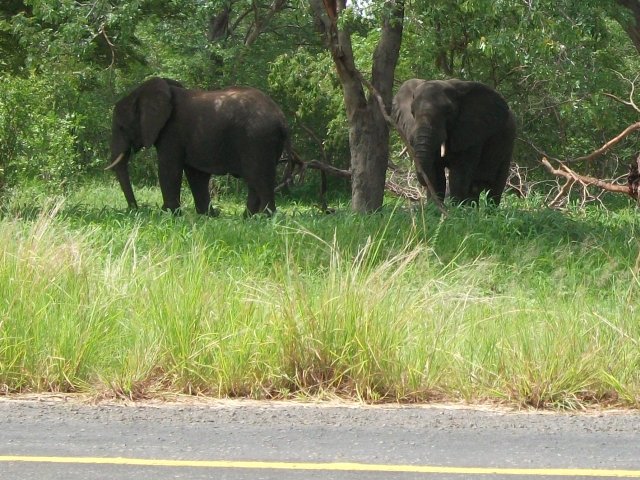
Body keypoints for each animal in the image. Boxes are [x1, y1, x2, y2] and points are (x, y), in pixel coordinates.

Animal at [106, 76, 286, 215]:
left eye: (121, 127)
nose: (135, 209)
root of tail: (280, 116)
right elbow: (195, 174)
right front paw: (207, 216)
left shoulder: (172, 131)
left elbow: (169, 169)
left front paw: (167, 215)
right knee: (255, 180)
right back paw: (248, 218)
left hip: (258, 139)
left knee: (259, 177)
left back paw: (265, 218)